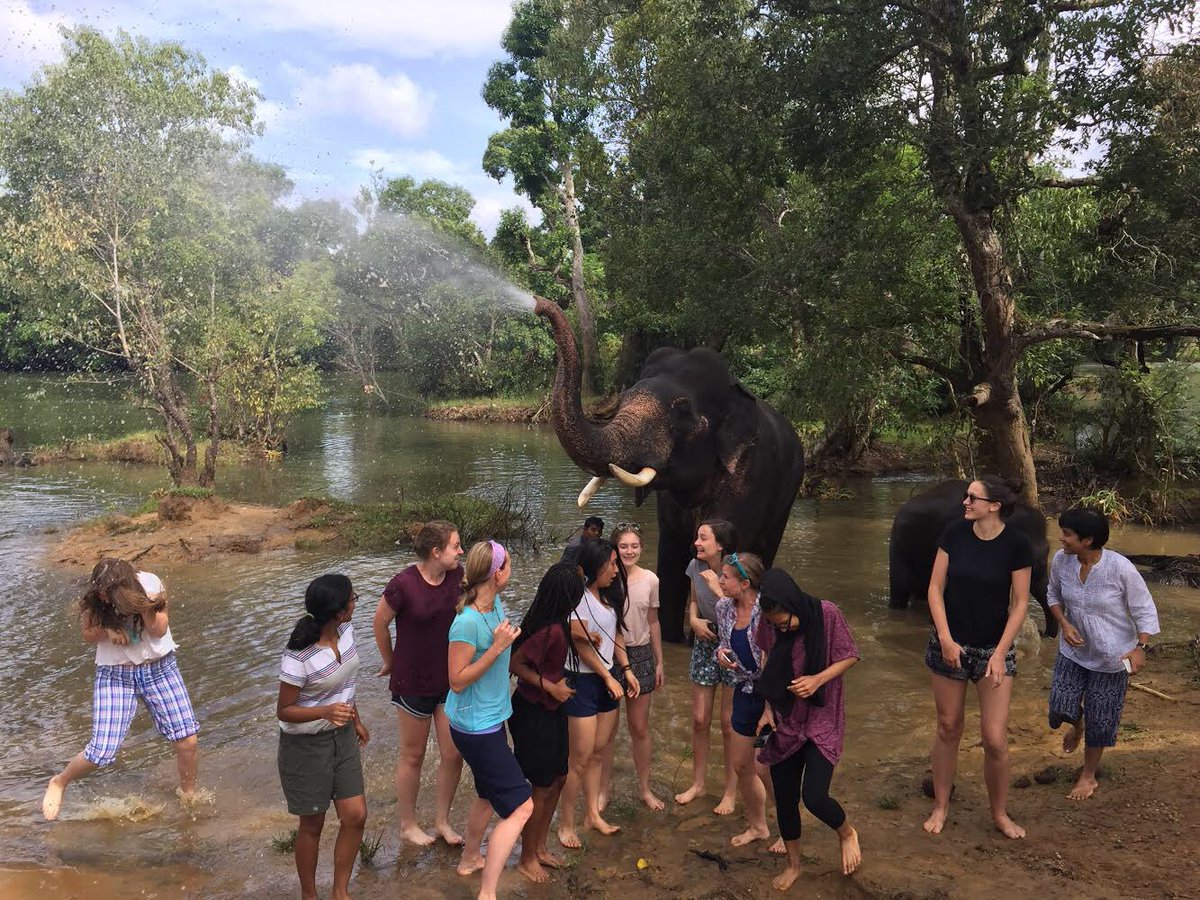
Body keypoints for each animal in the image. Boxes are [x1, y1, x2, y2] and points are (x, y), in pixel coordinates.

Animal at [537, 300, 806, 643]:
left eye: (682, 412)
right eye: (623, 399)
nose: (537, 304)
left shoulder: (747, 480)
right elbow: (671, 557)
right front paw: (671, 639)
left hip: (786, 498)